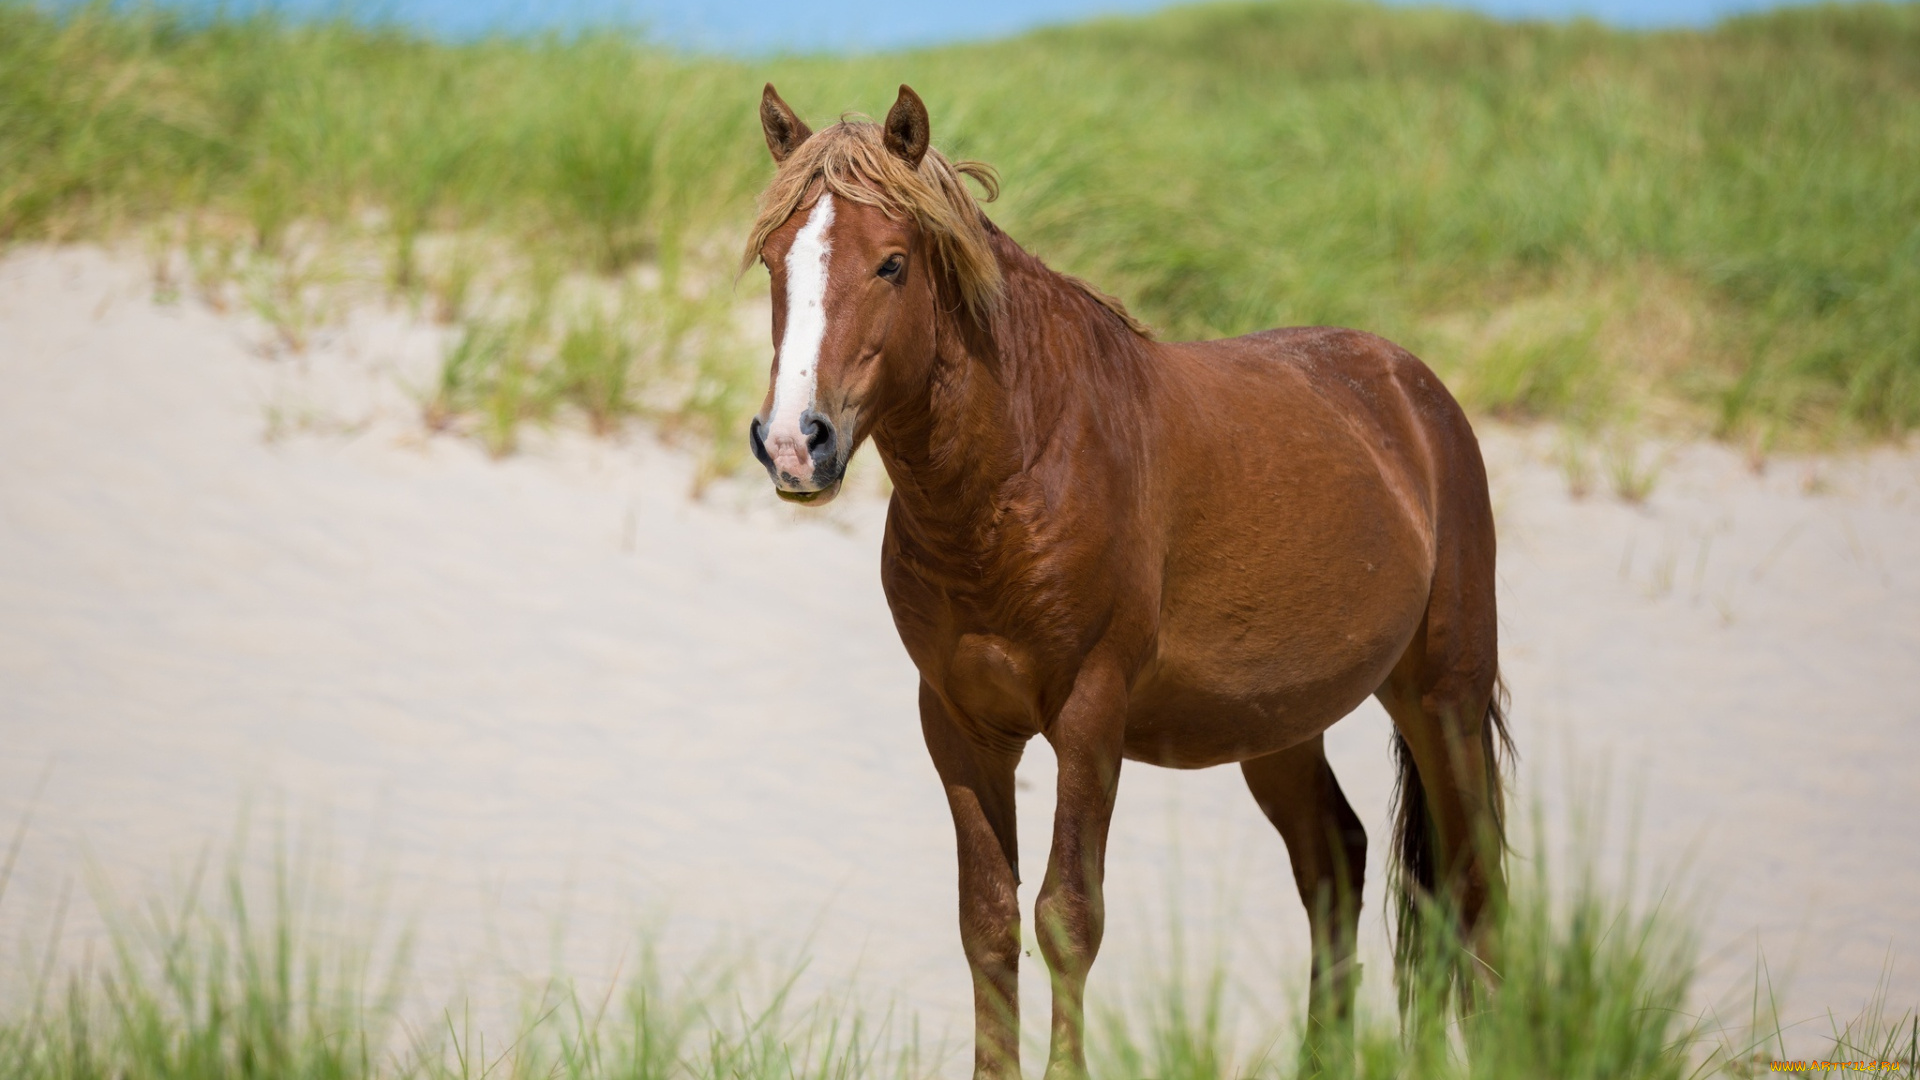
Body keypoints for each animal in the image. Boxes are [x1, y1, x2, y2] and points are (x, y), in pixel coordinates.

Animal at [741, 85, 1505, 1076]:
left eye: (892, 263)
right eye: (773, 260)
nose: (795, 442)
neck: (1020, 470)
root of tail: (1415, 391)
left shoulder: (1089, 716)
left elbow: (1068, 919)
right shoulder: (958, 725)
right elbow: (988, 923)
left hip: (1443, 697)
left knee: (1474, 888)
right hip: (1279, 727)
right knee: (1336, 865)